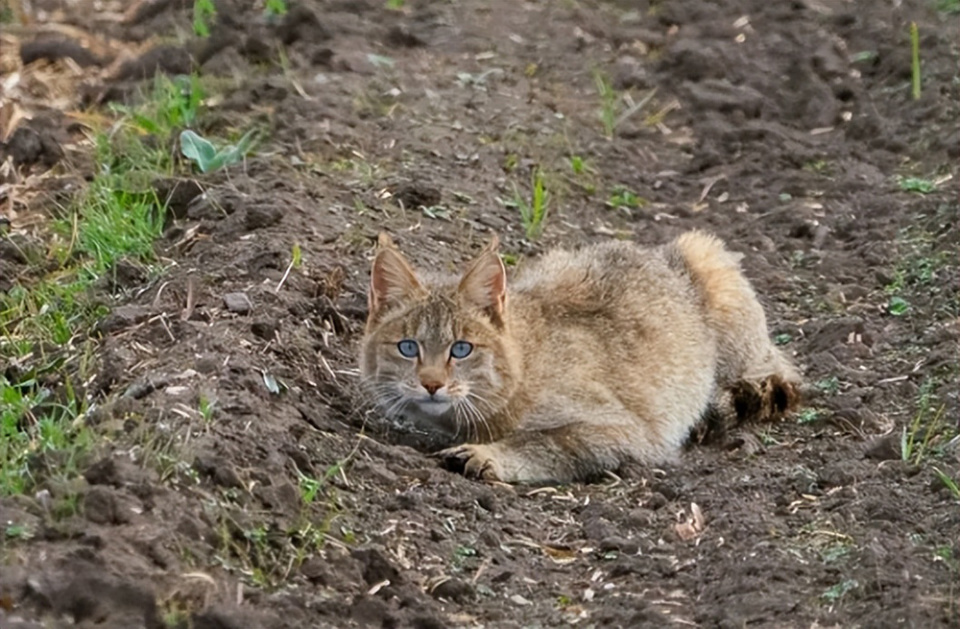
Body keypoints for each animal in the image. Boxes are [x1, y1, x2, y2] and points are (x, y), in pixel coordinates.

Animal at [356, 233, 800, 484]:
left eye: (461, 348)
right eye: (408, 347)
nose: (431, 383)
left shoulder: (626, 431)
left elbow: (545, 441)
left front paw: (488, 454)